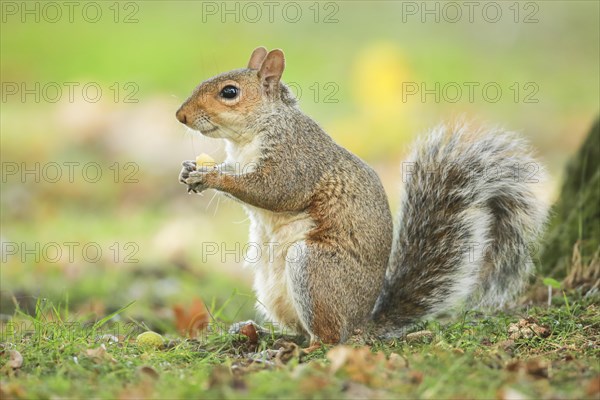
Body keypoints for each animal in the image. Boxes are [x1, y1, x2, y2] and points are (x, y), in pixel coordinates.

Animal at [173, 47, 548, 344]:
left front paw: (211, 176)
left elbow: (276, 191)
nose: (180, 115)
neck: (248, 137)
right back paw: (264, 334)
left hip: (314, 269)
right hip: (271, 287)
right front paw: (190, 168)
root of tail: (360, 324)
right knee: (300, 330)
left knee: (328, 338)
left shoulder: (297, 158)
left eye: (230, 92)